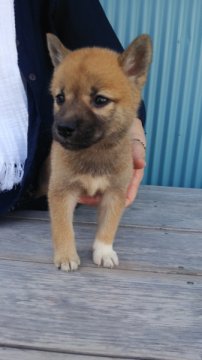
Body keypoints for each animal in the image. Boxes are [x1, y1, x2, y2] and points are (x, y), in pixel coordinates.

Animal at [47, 33, 152, 270]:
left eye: (100, 100)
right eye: (60, 98)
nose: (63, 128)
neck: (94, 153)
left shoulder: (115, 193)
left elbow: (108, 227)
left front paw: (104, 251)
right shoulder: (61, 190)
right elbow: (62, 227)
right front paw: (66, 255)